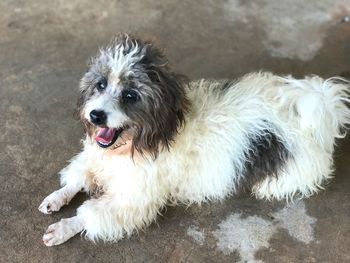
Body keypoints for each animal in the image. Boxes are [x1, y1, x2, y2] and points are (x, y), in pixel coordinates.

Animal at [38, 34, 350, 246]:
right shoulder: (98, 158)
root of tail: (320, 106)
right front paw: (56, 198)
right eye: (100, 85)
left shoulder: (134, 199)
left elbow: (89, 214)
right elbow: (77, 177)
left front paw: (64, 228)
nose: (95, 115)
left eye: (130, 95)